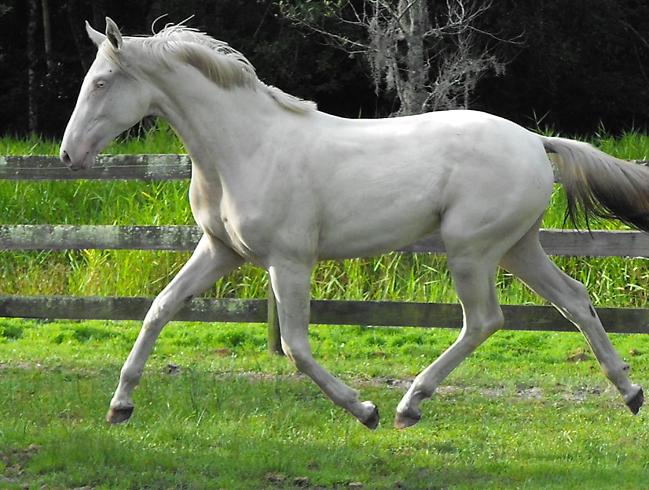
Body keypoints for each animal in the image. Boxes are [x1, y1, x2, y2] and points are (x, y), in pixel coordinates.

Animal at [58, 18, 644, 428]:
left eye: (102, 82)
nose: (68, 155)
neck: (244, 149)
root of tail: (533, 141)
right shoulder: (219, 251)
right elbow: (159, 309)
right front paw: (120, 406)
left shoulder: (289, 263)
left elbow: (297, 347)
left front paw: (365, 411)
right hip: (518, 247)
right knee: (574, 300)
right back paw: (630, 392)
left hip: (471, 250)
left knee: (484, 320)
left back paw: (408, 405)